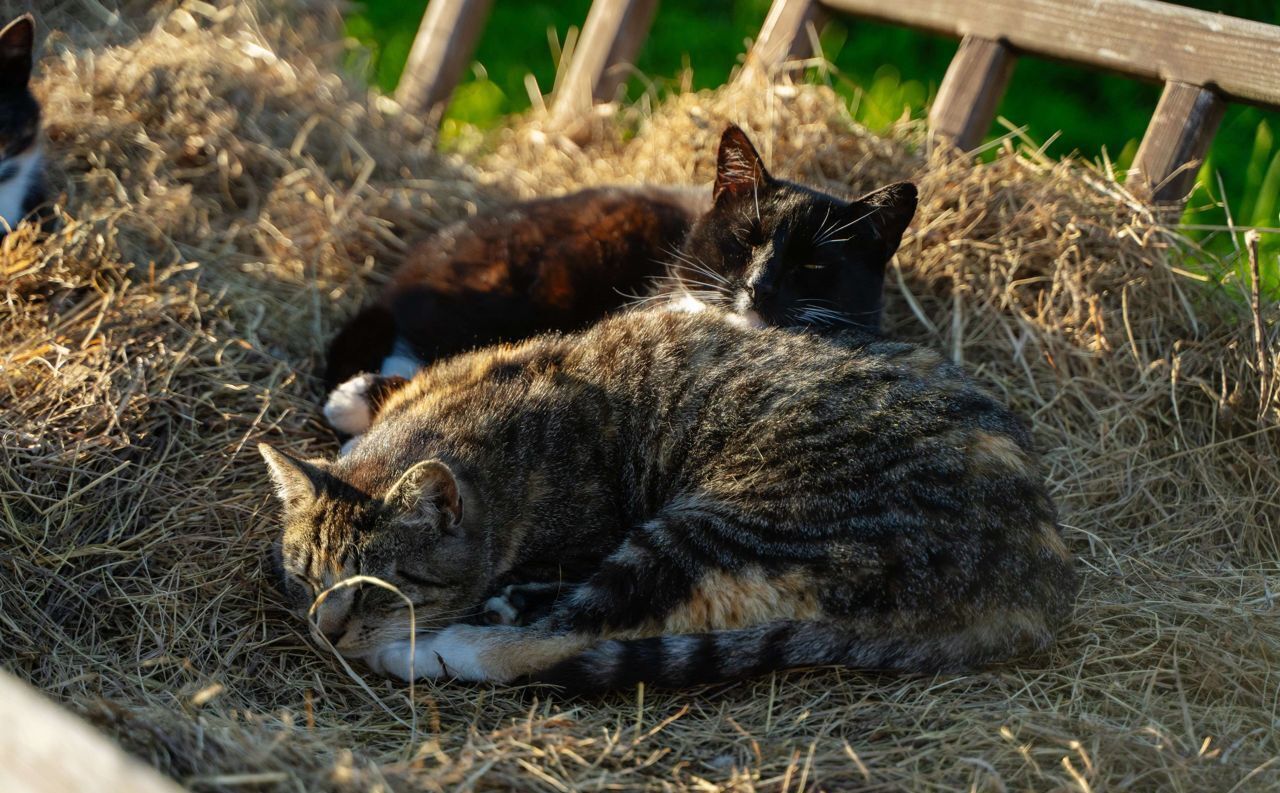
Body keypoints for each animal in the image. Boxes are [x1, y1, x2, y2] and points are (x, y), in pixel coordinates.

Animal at [262, 306, 1080, 690]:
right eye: (303, 575)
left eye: (377, 588)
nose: (325, 630)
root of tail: (1039, 579)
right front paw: (352, 403)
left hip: (716, 527)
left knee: (567, 634)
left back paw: (433, 648)